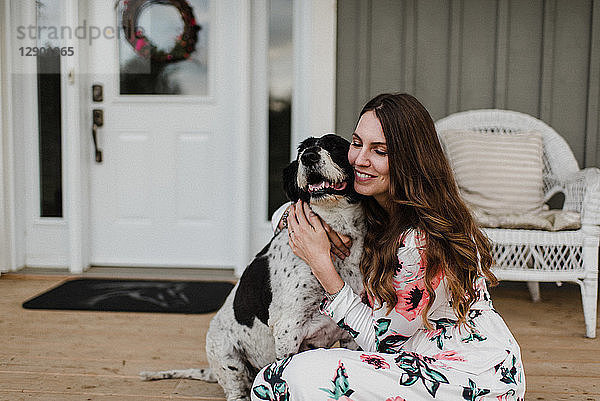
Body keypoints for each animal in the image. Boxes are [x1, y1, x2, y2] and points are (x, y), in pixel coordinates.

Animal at [141, 134, 366, 400]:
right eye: (302, 149)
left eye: (334, 146)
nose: (309, 157)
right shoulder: (288, 329)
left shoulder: (350, 335)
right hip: (228, 356)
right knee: (236, 390)